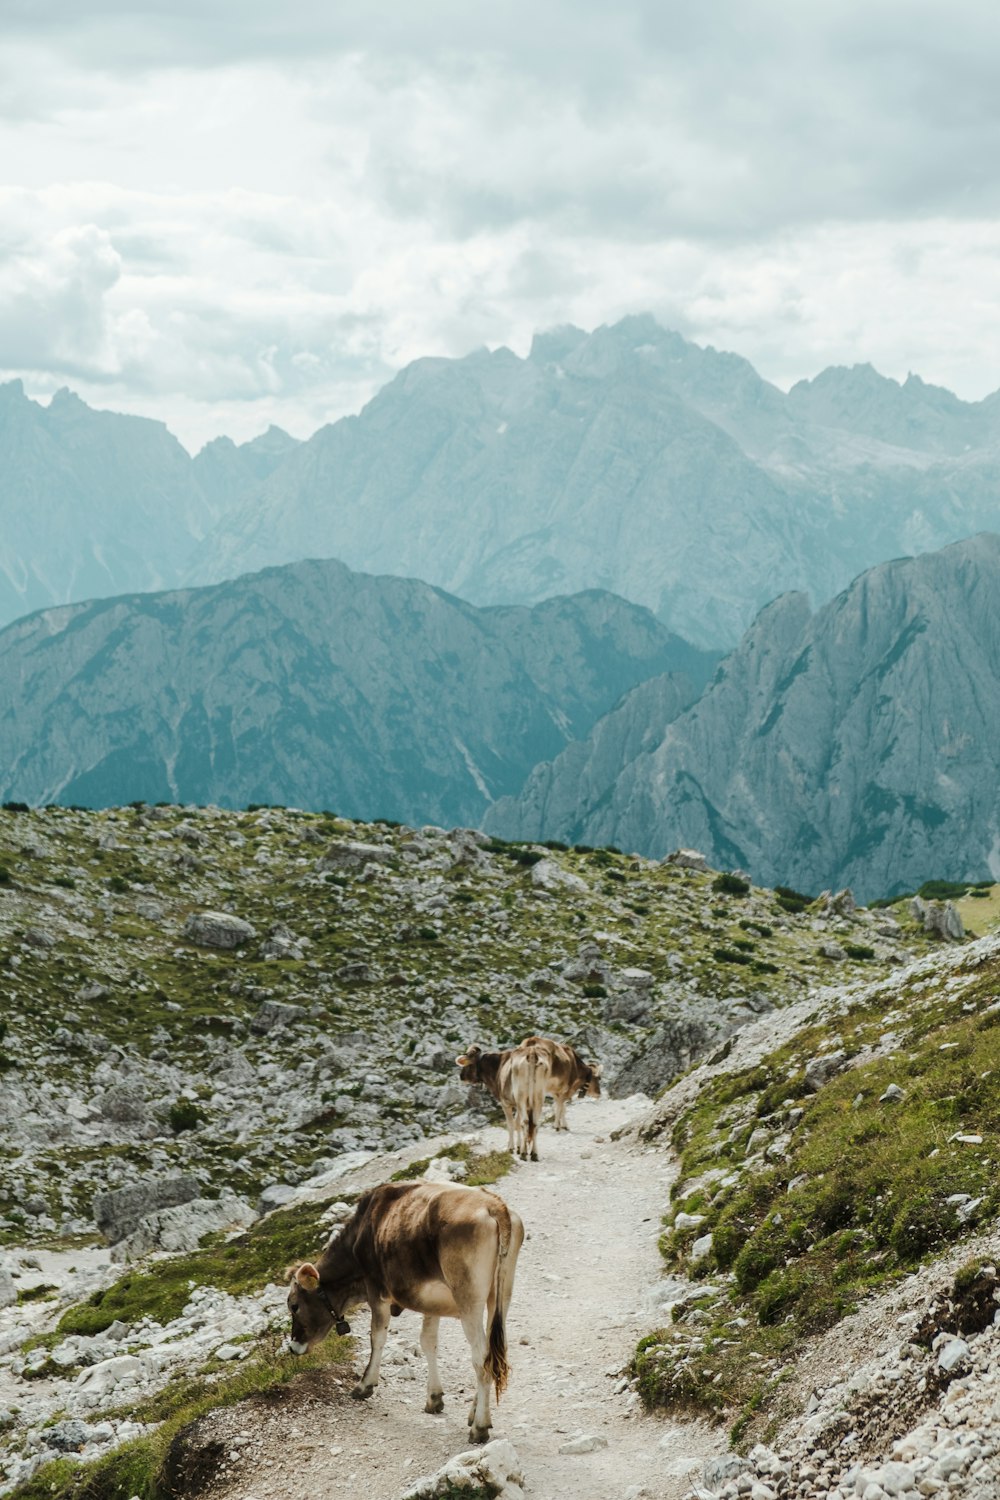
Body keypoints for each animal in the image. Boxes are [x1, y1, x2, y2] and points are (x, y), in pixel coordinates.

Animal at [284, 1176, 524, 1446]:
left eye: (294, 1305)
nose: (293, 1346)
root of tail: (494, 1204)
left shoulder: (376, 1290)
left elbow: (377, 1337)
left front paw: (364, 1385)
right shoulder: (432, 1300)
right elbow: (428, 1342)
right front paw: (434, 1398)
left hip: (468, 1299)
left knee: (481, 1356)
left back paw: (479, 1427)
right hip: (501, 1293)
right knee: (494, 1351)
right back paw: (476, 1415)